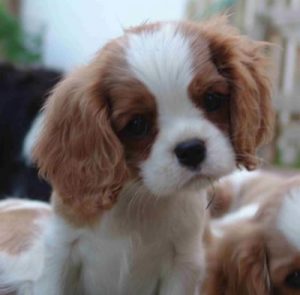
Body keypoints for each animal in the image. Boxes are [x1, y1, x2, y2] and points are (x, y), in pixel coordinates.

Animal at [0, 17, 274, 295]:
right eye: (137, 124)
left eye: (212, 99)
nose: (191, 149)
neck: (142, 196)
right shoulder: (62, 252)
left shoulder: (183, 264)